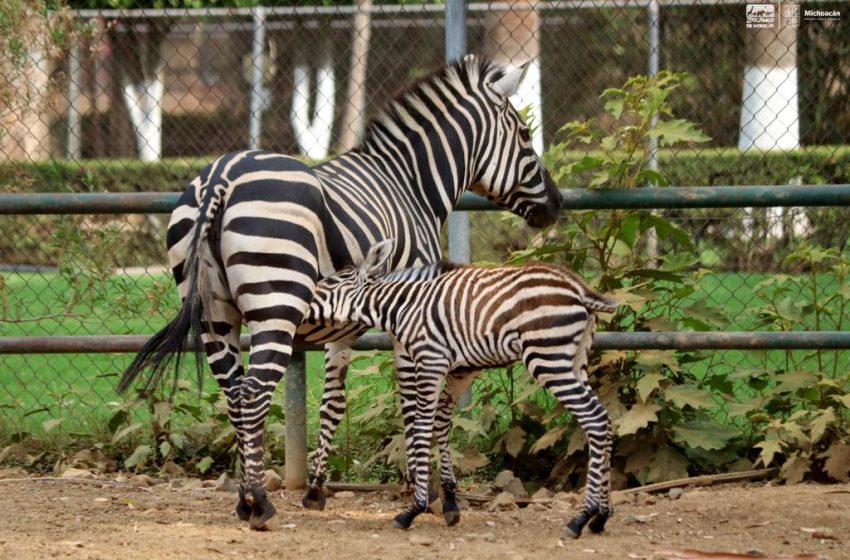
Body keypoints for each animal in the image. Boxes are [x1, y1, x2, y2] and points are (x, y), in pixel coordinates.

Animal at [117, 55, 556, 528]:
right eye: (525, 135)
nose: (557, 206)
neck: (410, 184)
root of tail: (221, 175)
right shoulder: (410, 317)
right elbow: (413, 405)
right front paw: (429, 495)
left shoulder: (342, 330)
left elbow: (333, 401)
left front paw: (316, 490)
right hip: (275, 304)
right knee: (253, 392)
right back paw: (259, 503)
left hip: (214, 314)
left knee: (233, 393)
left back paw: (243, 499)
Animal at [304, 240, 616, 540]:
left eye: (330, 284)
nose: (302, 304)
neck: (405, 306)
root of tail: (577, 287)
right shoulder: (458, 370)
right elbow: (440, 424)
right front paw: (448, 501)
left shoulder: (431, 361)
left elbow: (421, 429)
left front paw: (414, 509)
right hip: (577, 361)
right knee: (602, 418)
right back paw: (601, 516)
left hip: (547, 358)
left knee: (594, 419)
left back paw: (581, 519)